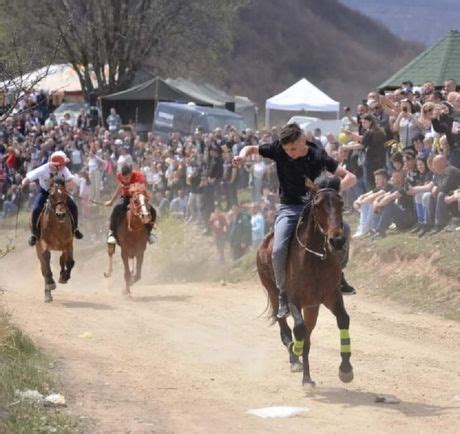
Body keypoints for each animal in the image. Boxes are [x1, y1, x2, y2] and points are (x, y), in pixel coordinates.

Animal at [256, 175, 354, 388]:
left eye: (341, 203)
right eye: (317, 205)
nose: (337, 241)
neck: (315, 257)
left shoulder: (331, 296)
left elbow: (343, 319)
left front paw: (346, 369)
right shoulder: (294, 299)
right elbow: (299, 329)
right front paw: (296, 350)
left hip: (312, 307)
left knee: (307, 334)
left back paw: (307, 378)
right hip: (274, 293)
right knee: (284, 326)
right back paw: (295, 360)